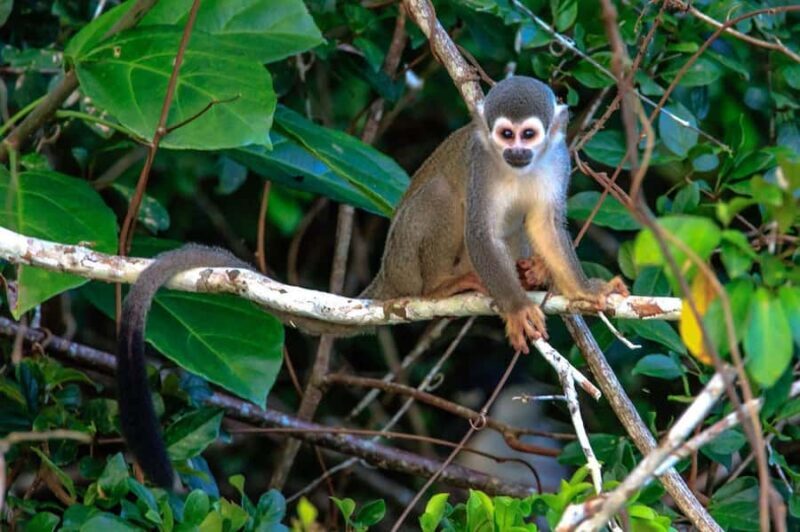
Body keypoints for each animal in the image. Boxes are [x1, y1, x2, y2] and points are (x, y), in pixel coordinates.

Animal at [117, 75, 627, 486]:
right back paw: (440, 286)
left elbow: (545, 224)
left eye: (528, 135)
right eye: (505, 134)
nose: (516, 151)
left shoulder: (556, 159)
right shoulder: (482, 163)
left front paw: (582, 289)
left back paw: (529, 271)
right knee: (444, 197)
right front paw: (517, 307)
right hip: (403, 257)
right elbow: (479, 231)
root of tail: (385, 273)